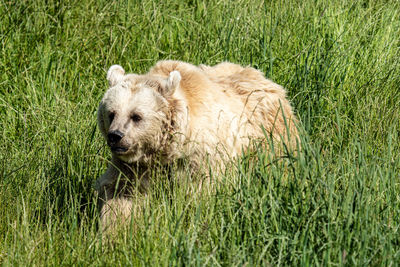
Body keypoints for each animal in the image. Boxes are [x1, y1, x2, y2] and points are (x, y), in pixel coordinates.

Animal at [96, 61, 296, 232]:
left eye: (136, 116)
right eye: (111, 113)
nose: (115, 136)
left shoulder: (201, 159)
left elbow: (198, 195)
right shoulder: (134, 166)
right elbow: (122, 194)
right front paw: (113, 233)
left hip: (270, 139)